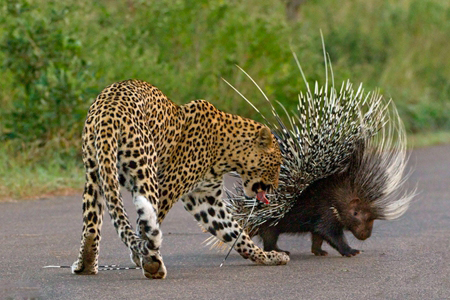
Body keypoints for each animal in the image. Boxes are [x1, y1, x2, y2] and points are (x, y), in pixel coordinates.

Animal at [70, 79, 288, 278]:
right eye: (277, 164)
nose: (275, 188)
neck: (226, 150)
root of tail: (108, 109)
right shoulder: (168, 188)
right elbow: (145, 226)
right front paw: (141, 258)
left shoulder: (205, 199)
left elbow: (235, 232)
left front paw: (268, 257)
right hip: (146, 173)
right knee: (146, 223)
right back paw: (153, 263)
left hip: (95, 172)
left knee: (91, 225)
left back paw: (85, 265)